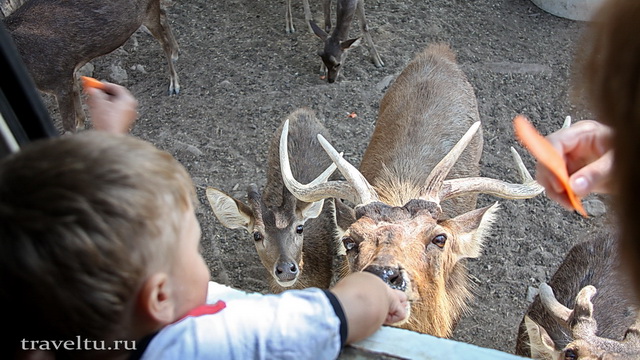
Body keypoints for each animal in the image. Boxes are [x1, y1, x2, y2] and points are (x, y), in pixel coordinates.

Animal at [4, 0, 180, 133]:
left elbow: (68, 127)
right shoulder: (68, 71)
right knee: (164, 14)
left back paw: (174, 82)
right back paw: (176, 51)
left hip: (147, 10)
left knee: (163, 41)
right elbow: (76, 90)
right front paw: (81, 123)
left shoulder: (58, 79)